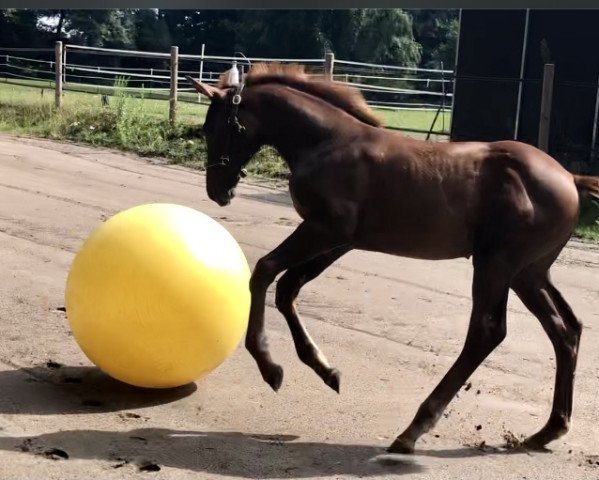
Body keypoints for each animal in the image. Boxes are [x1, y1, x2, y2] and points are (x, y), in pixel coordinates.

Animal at [188, 64, 599, 454]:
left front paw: (270, 367)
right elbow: (288, 287)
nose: (217, 191)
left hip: (495, 264)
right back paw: (548, 429)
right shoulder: (341, 241)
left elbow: (265, 271)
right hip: (529, 272)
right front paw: (326, 370)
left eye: (213, 128)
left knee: (487, 332)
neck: (328, 142)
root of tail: (570, 179)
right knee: (566, 329)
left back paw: (414, 430)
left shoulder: (324, 229)